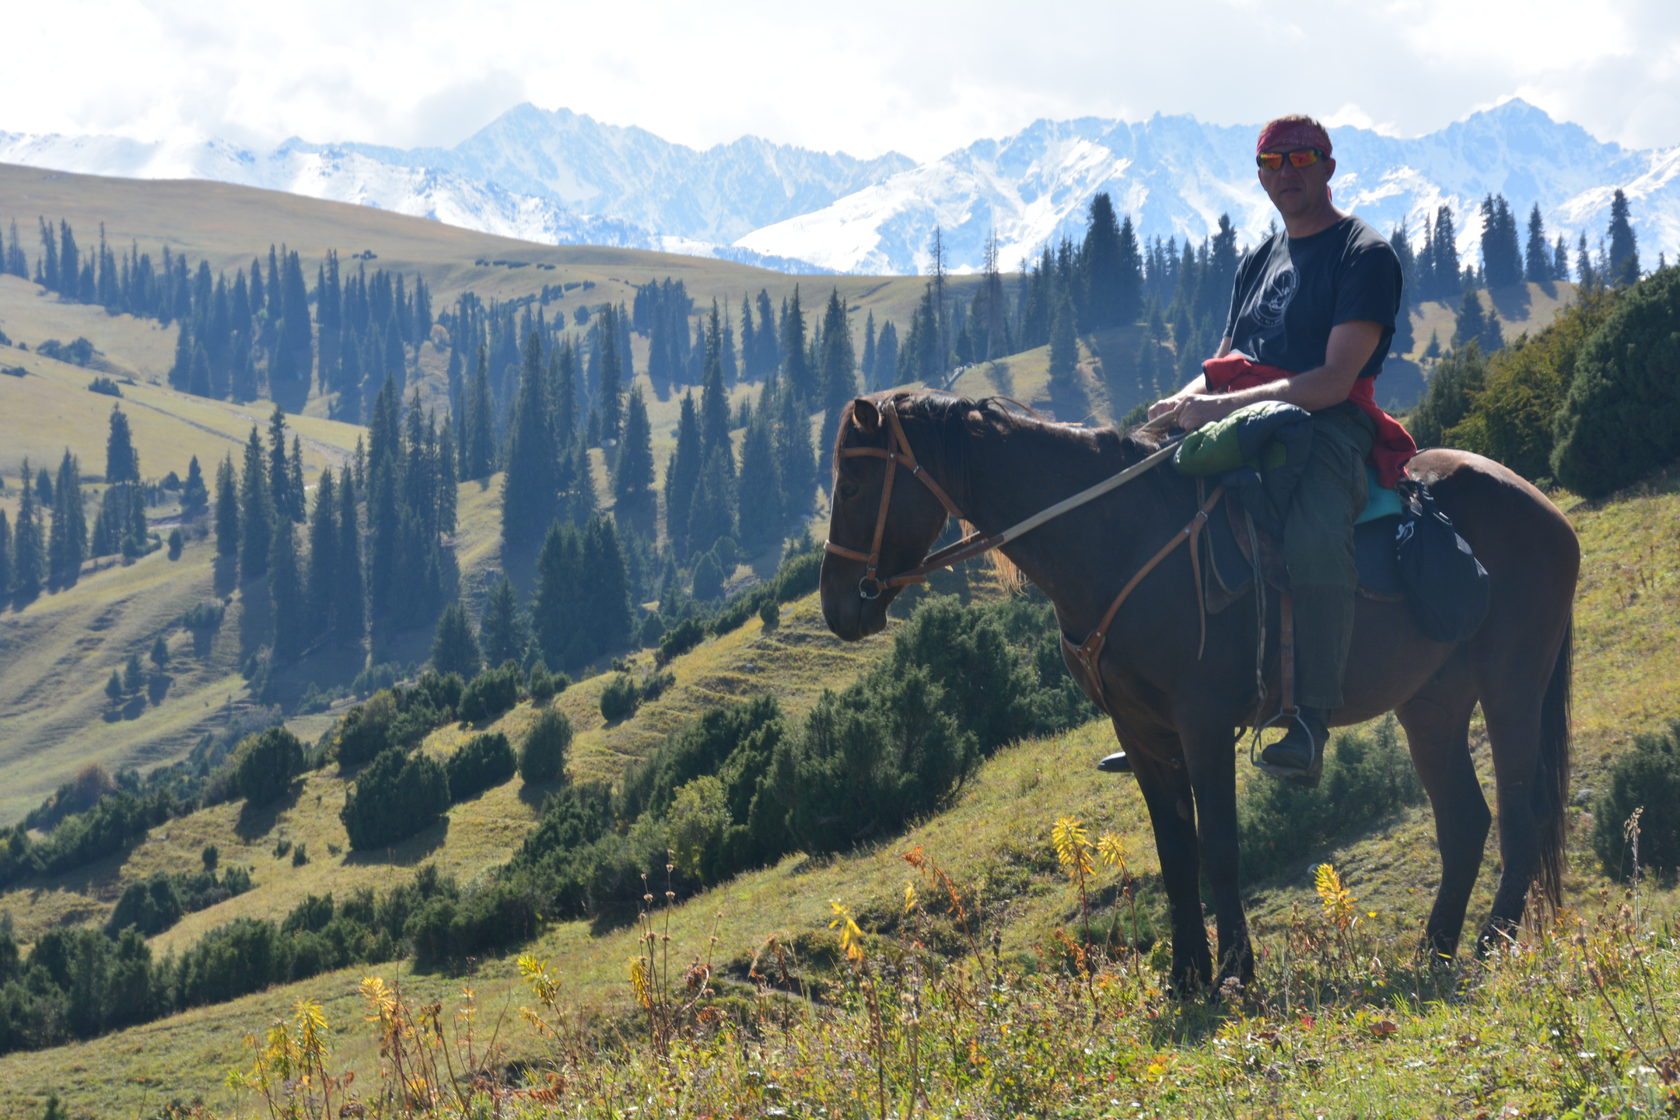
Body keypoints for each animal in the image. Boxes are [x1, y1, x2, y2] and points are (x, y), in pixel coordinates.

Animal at [819, 389, 1579, 994]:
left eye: (852, 487)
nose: (839, 607)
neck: (1119, 540)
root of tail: (1545, 511)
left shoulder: (1204, 722)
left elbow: (1218, 847)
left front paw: (1237, 971)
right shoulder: (1141, 732)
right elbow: (1175, 852)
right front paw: (1187, 976)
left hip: (1512, 685)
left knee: (1522, 813)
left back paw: (1492, 943)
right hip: (1431, 705)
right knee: (1464, 822)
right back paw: (1435, 951)